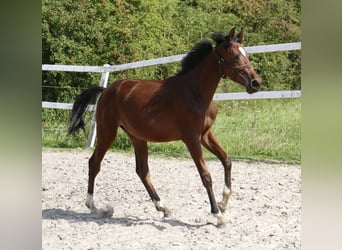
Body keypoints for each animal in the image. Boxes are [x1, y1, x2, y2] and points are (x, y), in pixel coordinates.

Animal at [69, 27, 262, 227]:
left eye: (246, 55)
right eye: (234, 56)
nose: (256, 83)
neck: (195, 92)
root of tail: (106, 90)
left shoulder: (205, 134)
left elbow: (227, 160)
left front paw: (224, 203)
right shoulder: (191, 138)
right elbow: (206, 175)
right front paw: (217, 214)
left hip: (137, 137)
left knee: (142, 171)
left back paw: (163, 207)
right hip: (108, 133)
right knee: (94, 163)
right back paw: (94, 207)